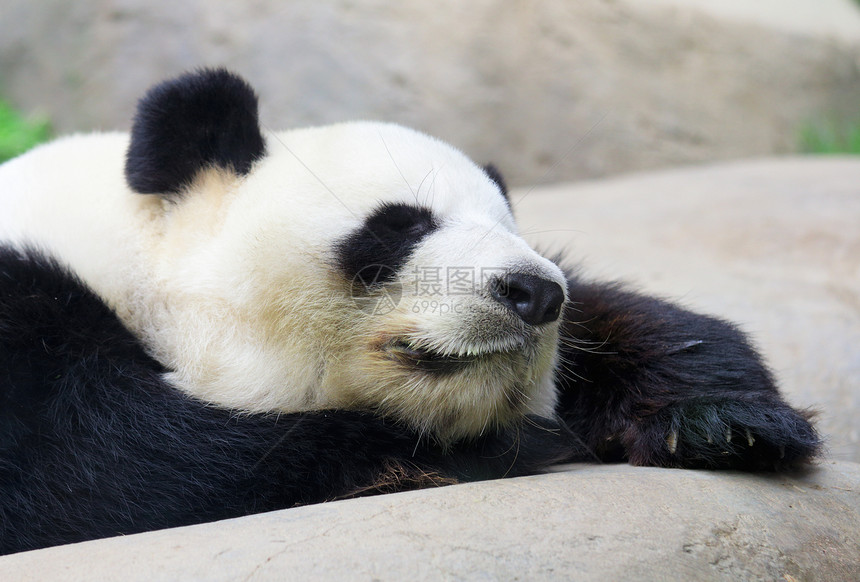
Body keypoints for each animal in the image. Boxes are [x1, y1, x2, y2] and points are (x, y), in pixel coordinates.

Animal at [0, 69, 824, 556]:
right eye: (401, 224)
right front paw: (479, 449)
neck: (133, 253)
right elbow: (101, 466)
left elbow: (615, 321)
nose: (533, 294)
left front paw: (723, 419)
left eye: (511, 230)